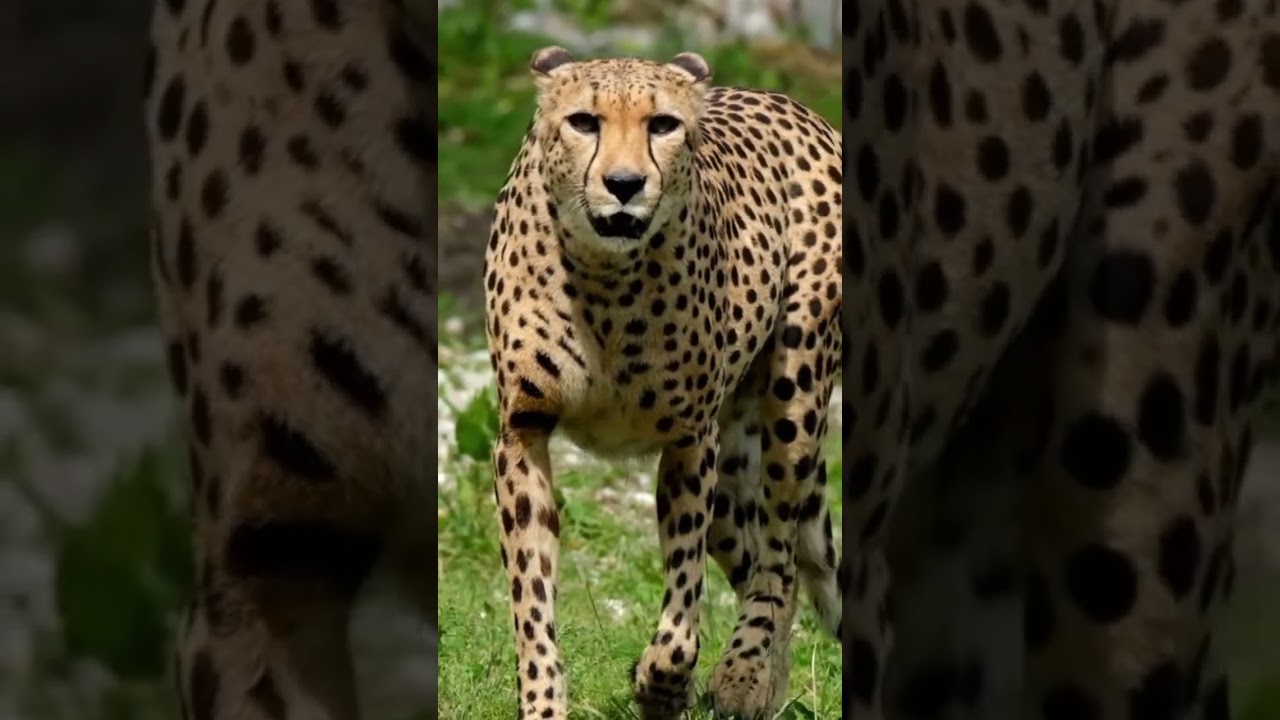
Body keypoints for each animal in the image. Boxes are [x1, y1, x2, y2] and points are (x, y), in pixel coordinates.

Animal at [481, 47, 843, 719]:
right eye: (584, 121)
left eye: (663, 125)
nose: (624, 185)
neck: (604, 275)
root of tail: (789, 102)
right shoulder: (522, 431)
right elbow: (532, 598)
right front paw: (544, 701)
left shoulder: (688, 440)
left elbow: (681, 614)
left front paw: (662, 684)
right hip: (733, 473)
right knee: (756, 557)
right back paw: (763, 685)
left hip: (795, 396)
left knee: (778, 558)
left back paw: (742, 675)